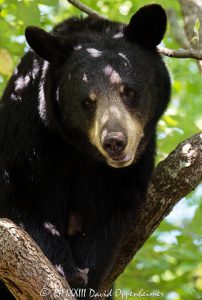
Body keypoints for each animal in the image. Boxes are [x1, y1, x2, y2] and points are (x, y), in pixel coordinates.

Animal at [0, 2, 170, 300]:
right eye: (87, 102)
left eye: (129, 91)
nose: (115, 142)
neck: (81, 151)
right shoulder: (25, 130)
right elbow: (22, 201)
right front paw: (67, 271)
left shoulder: (131, 166)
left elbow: (106, 220)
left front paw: (86, 277)